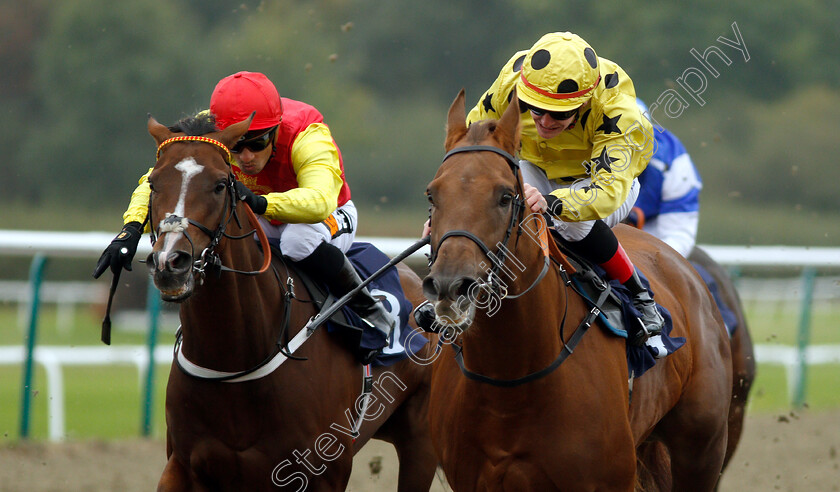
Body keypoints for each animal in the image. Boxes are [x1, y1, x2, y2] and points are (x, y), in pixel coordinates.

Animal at [144, 113, 436, 490]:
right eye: (153, 183)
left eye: (221, 185)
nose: (170, 263)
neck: (234, 359)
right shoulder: (184, 464)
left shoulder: (323, 470)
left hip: (421, 440)